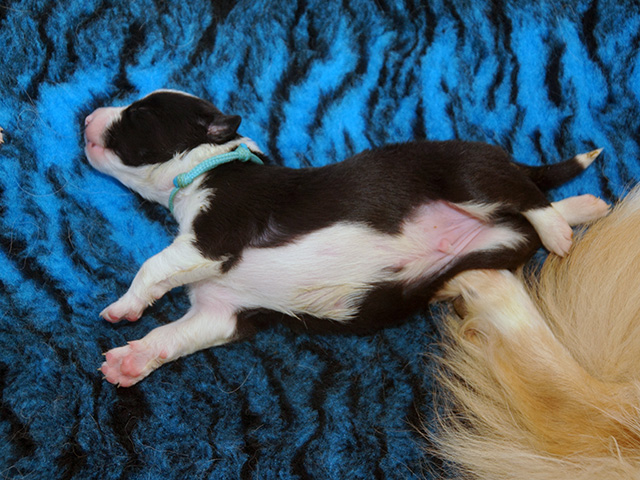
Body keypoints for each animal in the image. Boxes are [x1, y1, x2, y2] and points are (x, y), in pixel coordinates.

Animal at [84, 90, 608, 387]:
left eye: (139, 113)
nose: (86, 117)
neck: (210, 165)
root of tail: (504, 155)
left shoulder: (213, 238)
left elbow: (153, 265)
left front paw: (122, 307)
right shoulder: (221, 312)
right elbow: (169, 336)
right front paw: (129, 362)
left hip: (466, 176)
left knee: (526, 194)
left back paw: (561, 231)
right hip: (491, 245)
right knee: (522, 218)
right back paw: (583, 209)